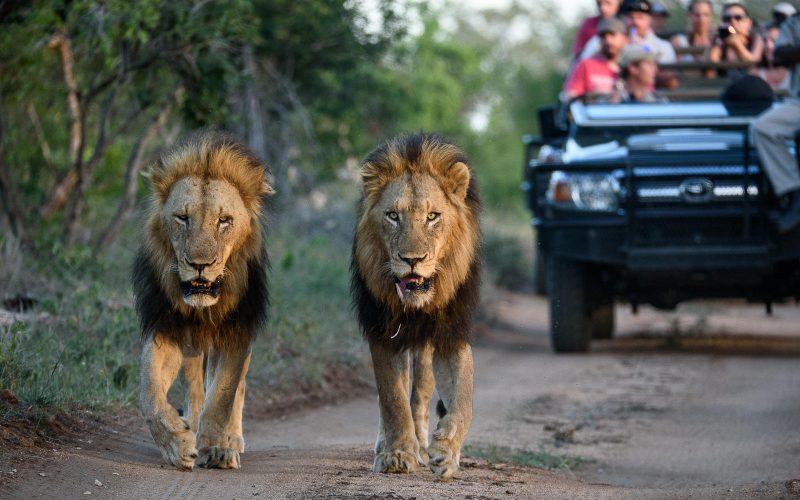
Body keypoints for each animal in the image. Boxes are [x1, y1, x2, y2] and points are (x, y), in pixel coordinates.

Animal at [132, 130, 273, 471]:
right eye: (183, 218)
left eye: (224, 220)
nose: (199, 264)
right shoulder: (166, 326)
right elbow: (149, 393)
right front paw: (177, 444)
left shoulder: (238, 331)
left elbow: (223, 395)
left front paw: (216, 448)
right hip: (192, 344)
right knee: (195, 387)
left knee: (234, 387)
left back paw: (231, 438)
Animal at [351, 133, 481, 480]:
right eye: (393, 216)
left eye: (433, 216)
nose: (413, 260)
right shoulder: (383, 333)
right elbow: (392, 400)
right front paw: (397, 455)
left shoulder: (451, 335)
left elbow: (463, 401)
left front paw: (445, 450)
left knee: (421, 392)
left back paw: (422, 444)